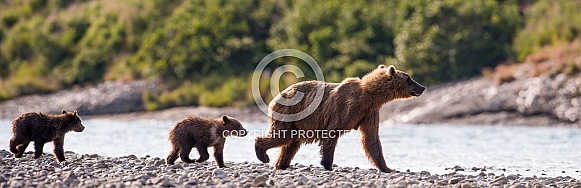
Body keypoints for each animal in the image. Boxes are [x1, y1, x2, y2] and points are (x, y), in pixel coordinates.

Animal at [254, 64, 422, 172]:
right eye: (409, 79)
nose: (422, 87)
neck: (370, 96)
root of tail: (275, 98)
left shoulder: (369, 113)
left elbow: (371, 139)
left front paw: (388, 168)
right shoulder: (344, 109)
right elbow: (332, 133)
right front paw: (328, 164)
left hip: (297, 123)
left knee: (290, 143)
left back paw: (281, 163)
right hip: (289, 113)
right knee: (282, 136)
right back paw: (263, 154)